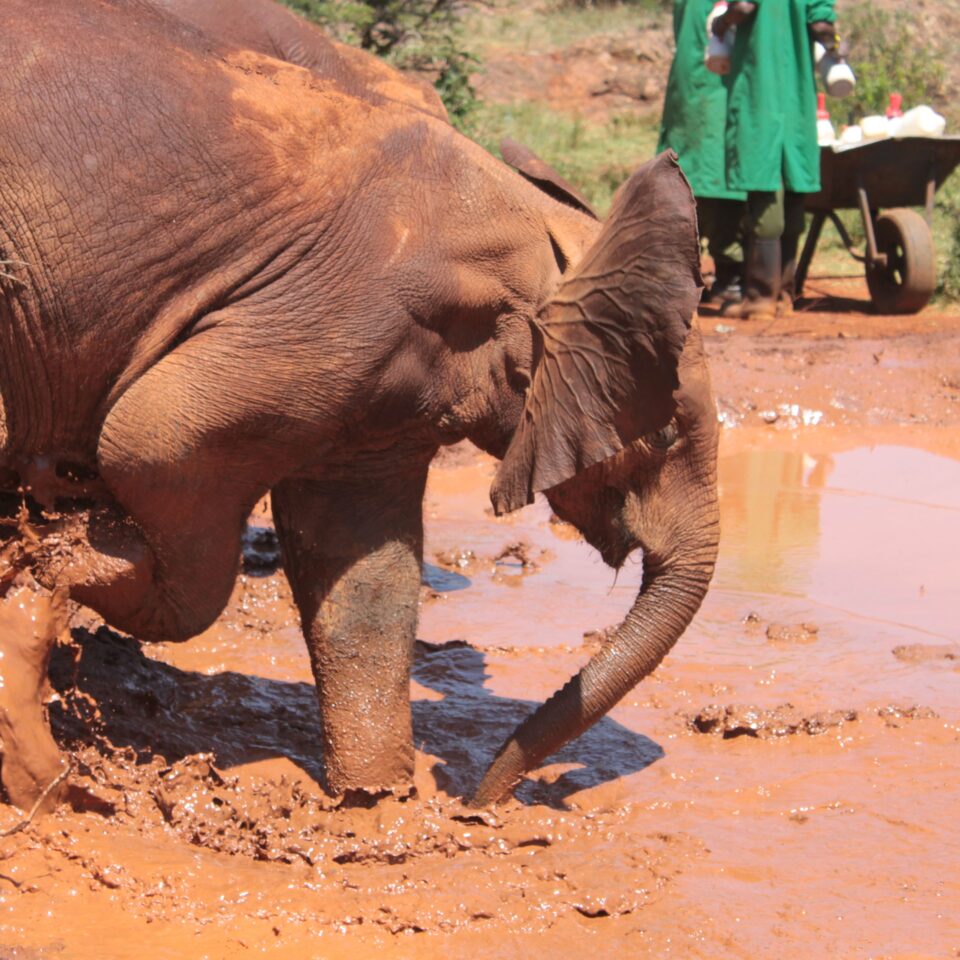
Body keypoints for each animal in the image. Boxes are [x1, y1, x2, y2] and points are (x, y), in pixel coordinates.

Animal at [0, 0, 720, 808]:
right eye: (663, 435)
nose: (480, 802)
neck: (530, 229)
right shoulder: (351, 311)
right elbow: (151, 439)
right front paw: (68, 566)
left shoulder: (384, 374)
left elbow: (361, 561)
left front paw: (375, 810)